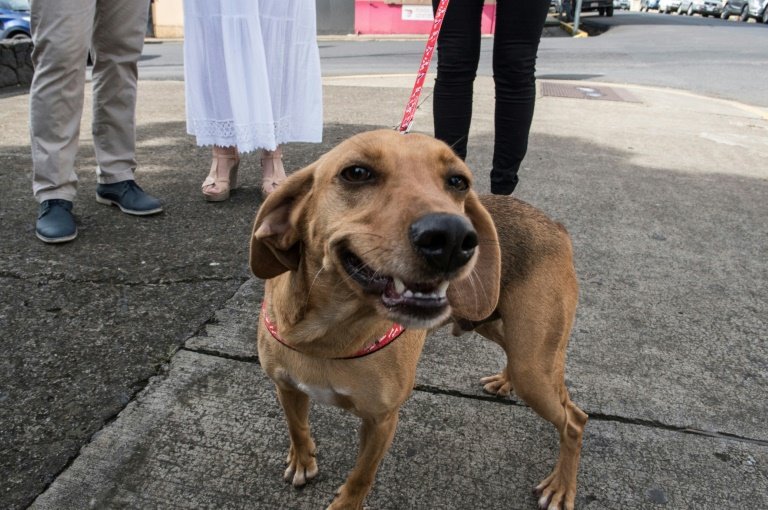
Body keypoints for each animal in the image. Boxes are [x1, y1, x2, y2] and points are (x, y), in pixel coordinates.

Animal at [249, 130, 584, 510]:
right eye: (356, 173)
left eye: (458, 181)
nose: (453, 238)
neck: (326, 336)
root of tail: (556, 225)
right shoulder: (286, 387)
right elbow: (297, 428)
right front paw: (303, 461)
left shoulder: (381, 420)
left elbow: (361, 477)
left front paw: (345, 501)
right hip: (493, 325)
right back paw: (504, 380)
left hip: (533, 366)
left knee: (575, 420)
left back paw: (561, 487)